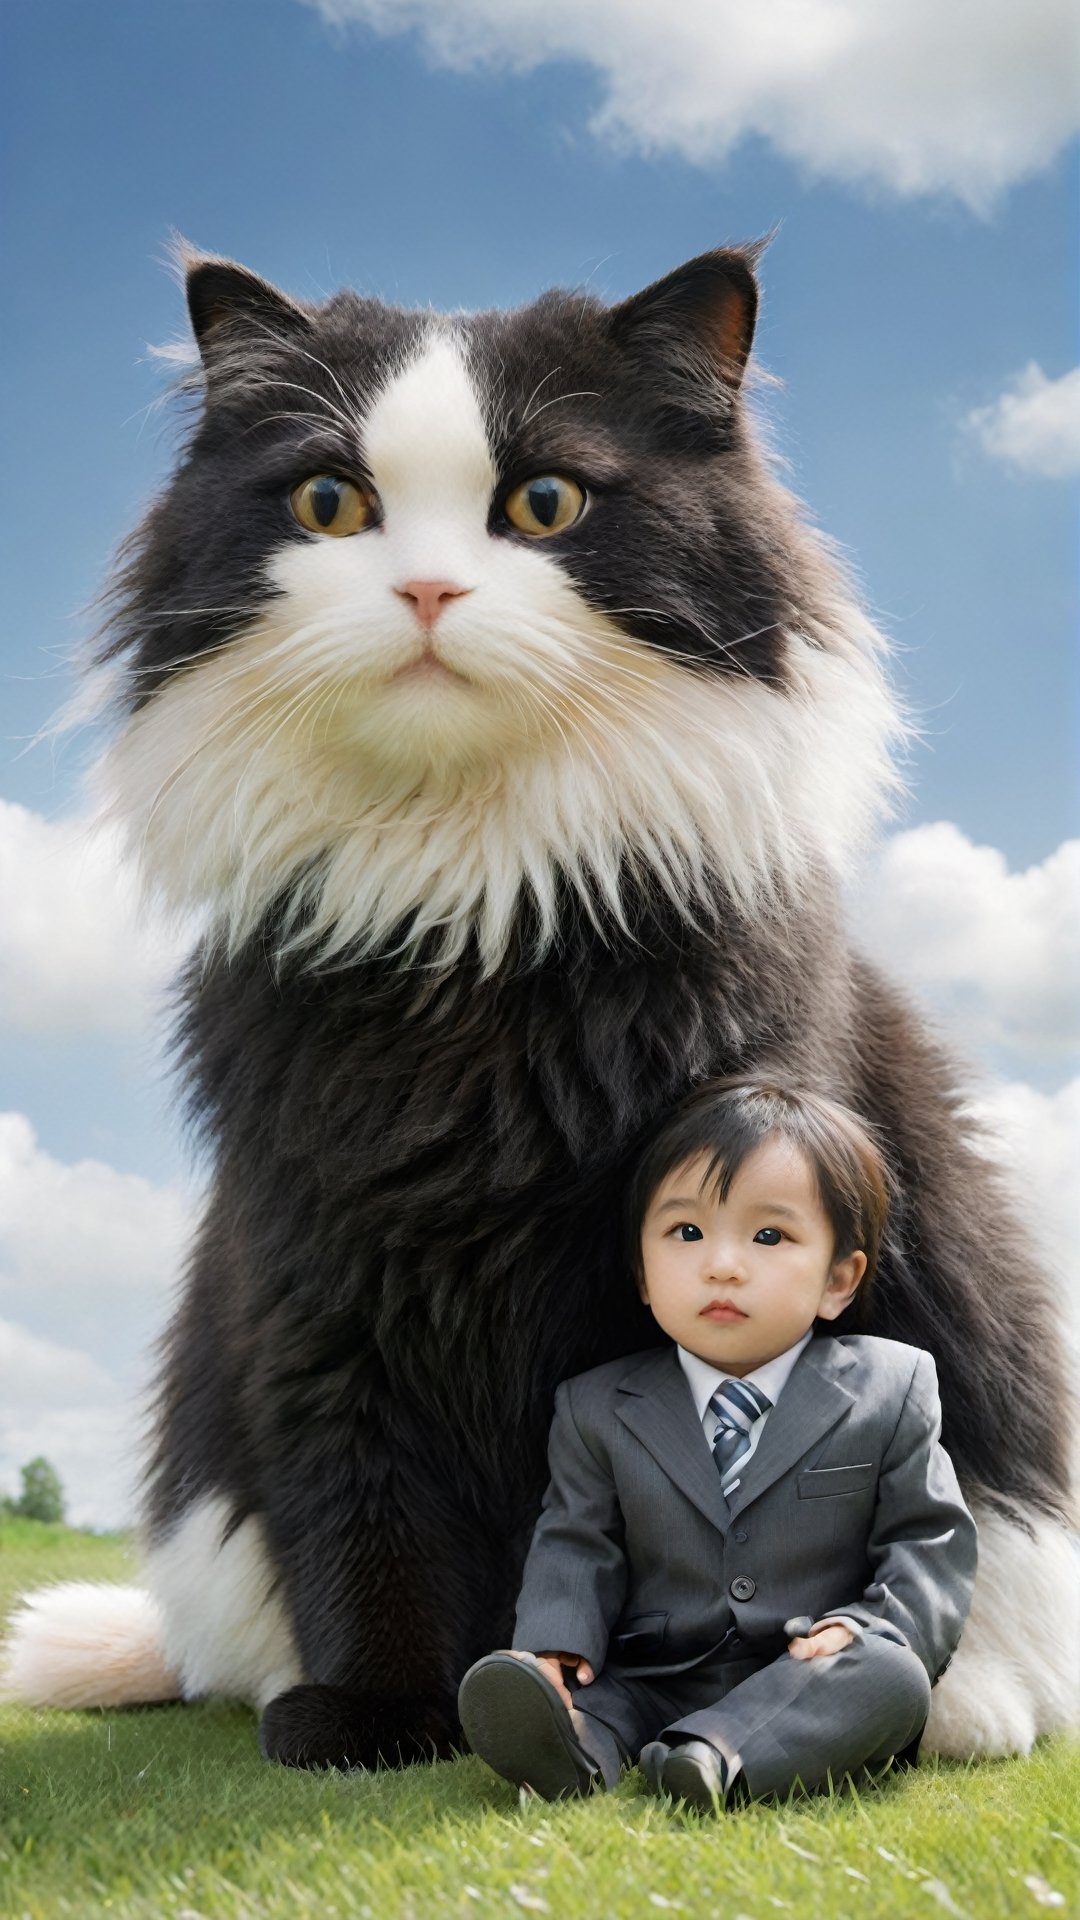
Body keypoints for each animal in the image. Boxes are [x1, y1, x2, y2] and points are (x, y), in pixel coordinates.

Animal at [8, 243, 1076, 1766]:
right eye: (329, 503)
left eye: (546, 503)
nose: (428, 591)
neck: (473, 911)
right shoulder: (319, 1280)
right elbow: (363, 1518)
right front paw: (382, 1717)